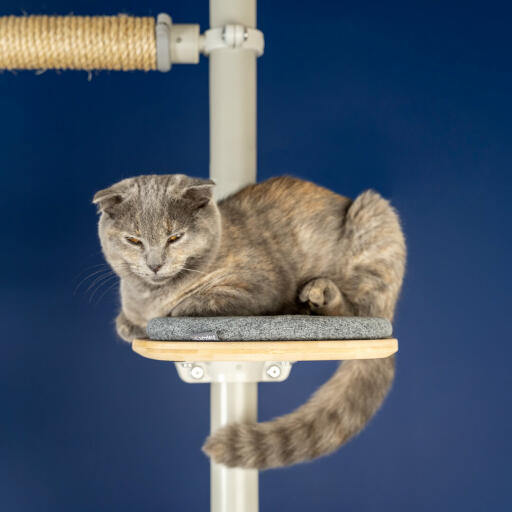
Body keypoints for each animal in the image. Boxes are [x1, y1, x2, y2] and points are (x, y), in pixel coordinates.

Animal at [94, 175, 406, 468]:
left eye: (175, 237)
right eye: (133, 240)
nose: (155, 264)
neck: (149, 296)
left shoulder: (256, 288)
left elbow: (195, 303)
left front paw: (167, 311)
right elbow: (126, 323)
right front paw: (130, 324)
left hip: (374, 217)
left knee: (358, 309)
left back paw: (316, 297)